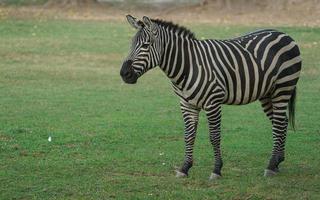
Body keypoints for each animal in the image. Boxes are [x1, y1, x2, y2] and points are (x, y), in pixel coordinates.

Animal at [120, 14, 302, 179]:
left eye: (146, 45)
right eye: (131, 45)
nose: (124, 74)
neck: (188, 65)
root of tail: (283, 33)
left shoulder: (212, 102)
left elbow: (214, 137)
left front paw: (216, 170)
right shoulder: (186, 104)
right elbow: (188, 136)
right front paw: (185, 168)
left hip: (283, 88)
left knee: (278, 123)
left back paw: (271, 165)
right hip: (267, 93)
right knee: (281, 122)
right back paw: (277, 162)